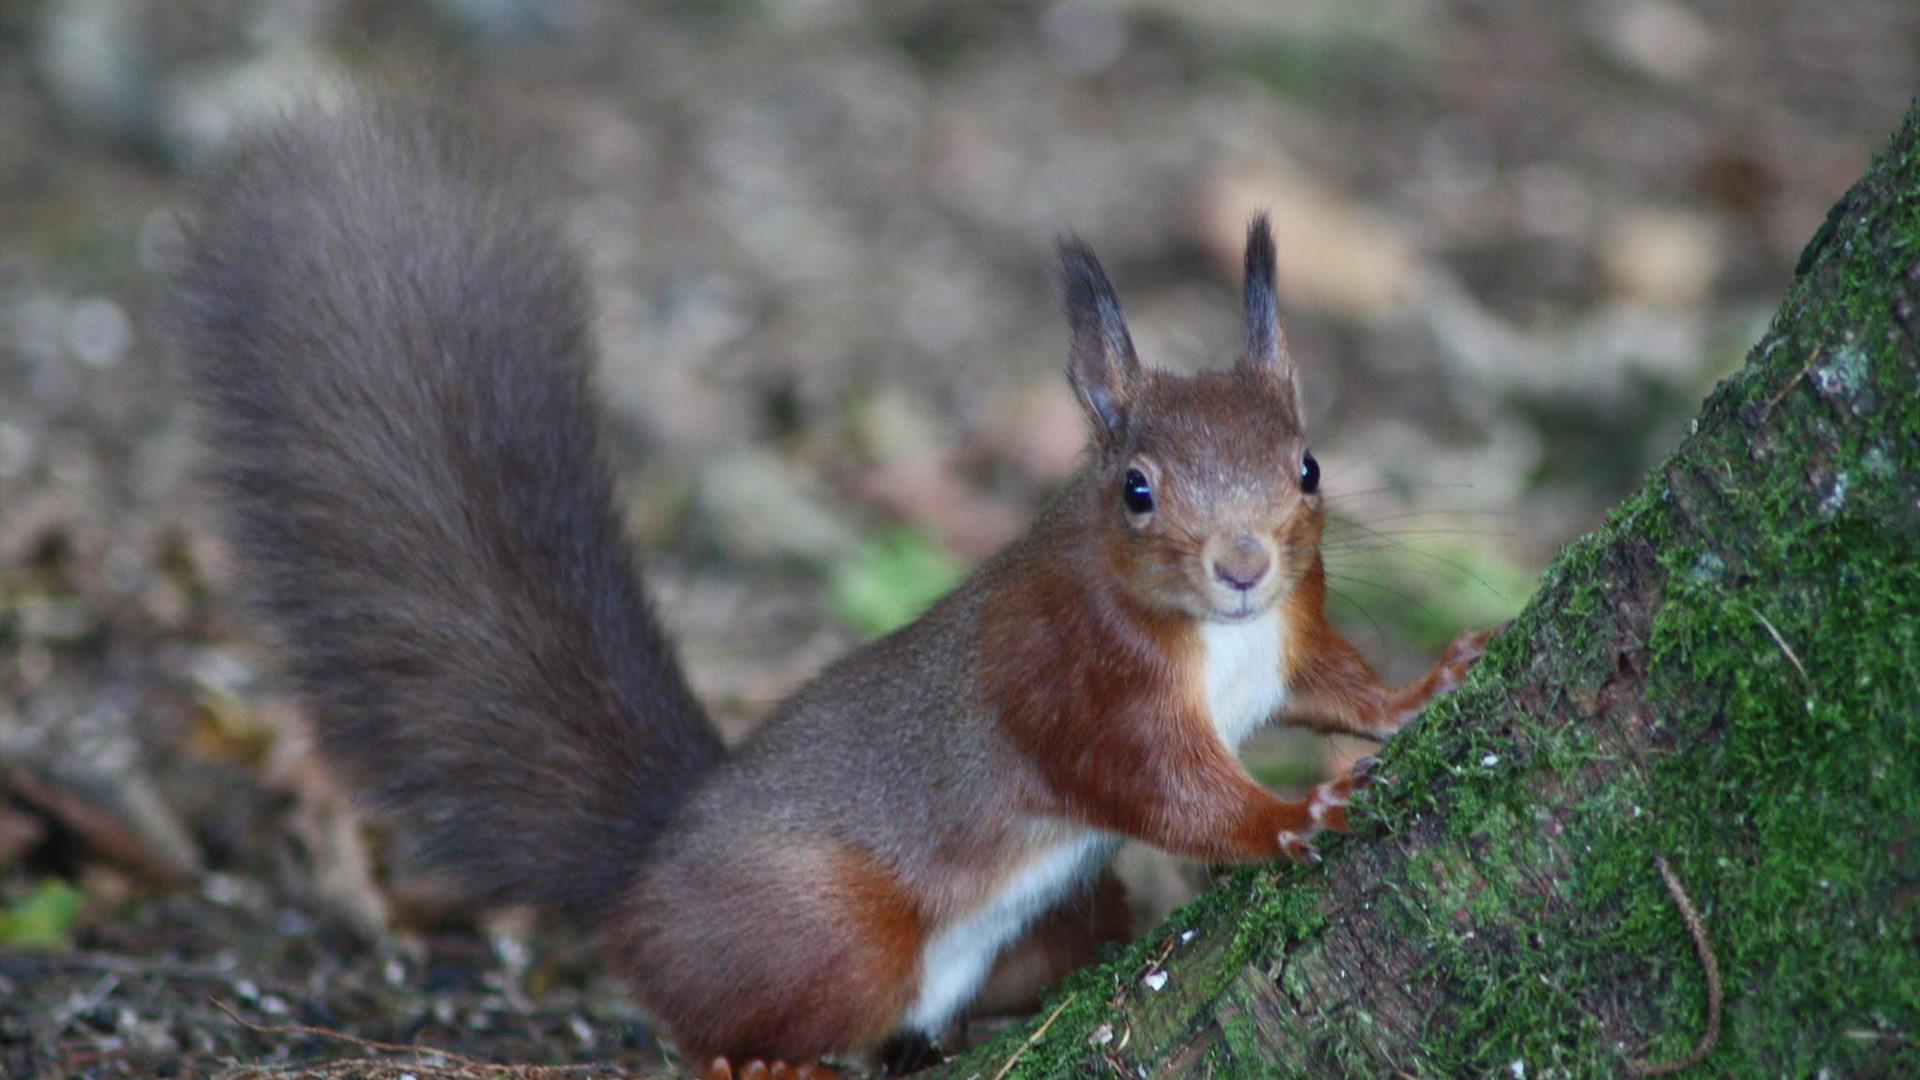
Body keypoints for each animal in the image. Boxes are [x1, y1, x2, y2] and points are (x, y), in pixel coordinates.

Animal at [167, 95, 1493, 1079]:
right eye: (1136, 490)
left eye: (1307, 466)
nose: (1244, 565)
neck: (1218, 640)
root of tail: (645, 869)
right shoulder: (1069, 678)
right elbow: (1161, 788)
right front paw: (1285, 817)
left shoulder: (1290, 637)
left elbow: (1336, 684)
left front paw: (1429, 683)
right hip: (837, 933)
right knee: (716, 1021)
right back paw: (767, 1057)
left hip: (1038, 929)